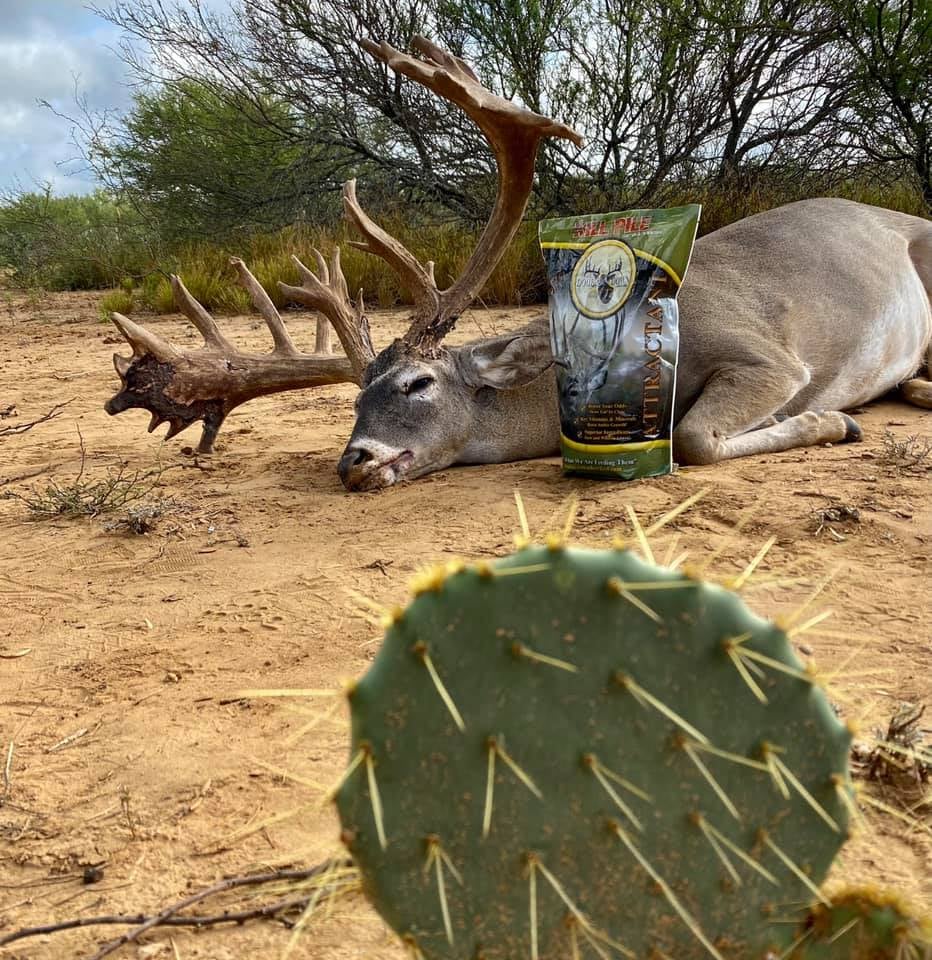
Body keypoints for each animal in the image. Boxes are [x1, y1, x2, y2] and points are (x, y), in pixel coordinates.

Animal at [104, 37, 932, 492]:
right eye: (352, 402)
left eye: (418, 383)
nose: (353, 460)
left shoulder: (765, 356)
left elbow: (696, 440)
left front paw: (832, 422)